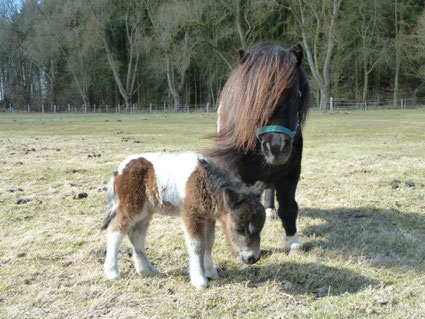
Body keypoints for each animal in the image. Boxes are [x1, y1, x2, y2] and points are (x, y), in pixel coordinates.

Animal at [101, 152, 264, 290]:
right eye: (239, 228)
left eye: (260, 229)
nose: (252, 258)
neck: (204, 181)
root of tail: (118, 171)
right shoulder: (192, 214)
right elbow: (197, 245)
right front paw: (199, 280)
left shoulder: (208, 217)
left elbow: (209, 243)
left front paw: (211, 272)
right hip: (131, 206)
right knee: (115, 231)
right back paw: (112, 272)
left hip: (145, 212)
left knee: (136, 237)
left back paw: (147, 270)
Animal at [210, 43, 310, 252]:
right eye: (253, 98)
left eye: (293, 95)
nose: (276, 147)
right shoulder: (237, 171)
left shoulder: (291, 170)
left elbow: (289, 206)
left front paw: (293, 242)